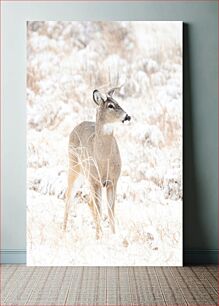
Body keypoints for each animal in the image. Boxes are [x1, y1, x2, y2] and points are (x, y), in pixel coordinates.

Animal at [63, 87, 132, 238]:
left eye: (118, 102)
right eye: (110, 106)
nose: (127, 117)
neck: (104, 160)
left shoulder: (113, 181)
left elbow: (110, 211)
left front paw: (113, 235)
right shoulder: (96, 181)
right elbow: (100, 210)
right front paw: (99, 237)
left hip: (86, 176)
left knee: (89, 201)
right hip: (75, 166)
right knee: (69, 196)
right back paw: (63, 230)